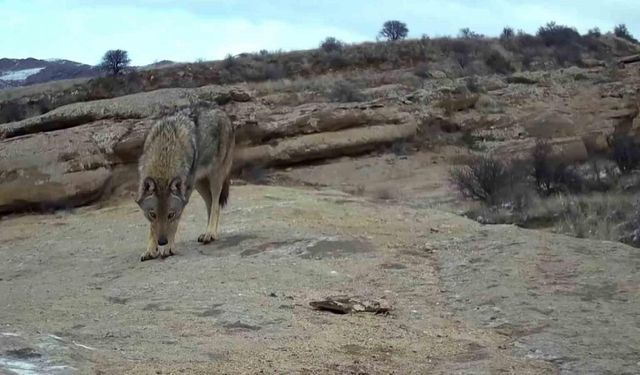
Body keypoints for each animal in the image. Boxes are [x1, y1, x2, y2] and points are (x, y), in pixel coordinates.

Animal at [136, 108, 235, 262]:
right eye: (153, 214)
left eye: (170, 215)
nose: (162, 242)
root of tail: (222, 111)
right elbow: (152, 228)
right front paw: (151, 250)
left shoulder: (184, 196)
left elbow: (174, 225)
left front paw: (169, 248)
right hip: (199, 183)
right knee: (210, 203)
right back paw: (208, 233)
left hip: (214, 178)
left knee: (216, 204)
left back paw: (210, 233)